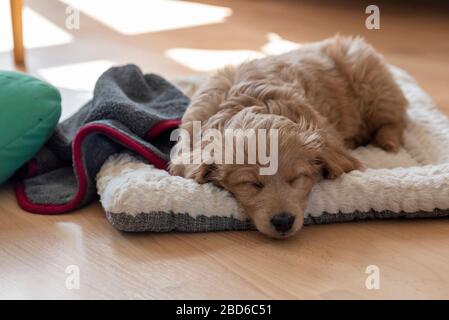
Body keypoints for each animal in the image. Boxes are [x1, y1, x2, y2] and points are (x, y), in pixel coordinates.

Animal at [168, 36, 406, 239]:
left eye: (297, 178)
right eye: (251, 183)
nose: (283, 221)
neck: (253, 102)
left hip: (374, 86)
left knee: (394, 118)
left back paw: (387, 142)